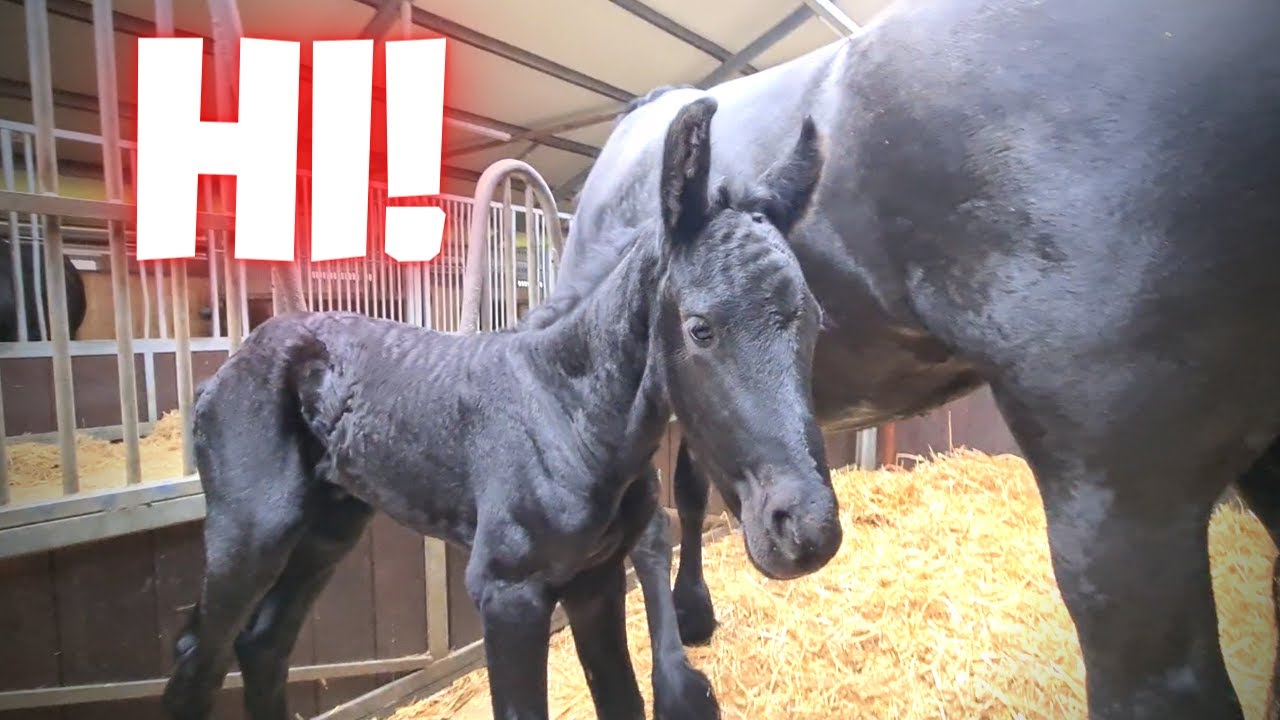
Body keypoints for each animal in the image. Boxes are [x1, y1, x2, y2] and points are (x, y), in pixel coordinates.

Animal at [160, 98, 842, 720]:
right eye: (701, 328)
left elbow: (621, 698)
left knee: (264, 643)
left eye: (815, 320)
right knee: (198, 656)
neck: (567, 414)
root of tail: (238, 358)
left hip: (330, 524)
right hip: (252, 529)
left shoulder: (594, 581)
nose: (807, 531)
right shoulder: (507, 595)